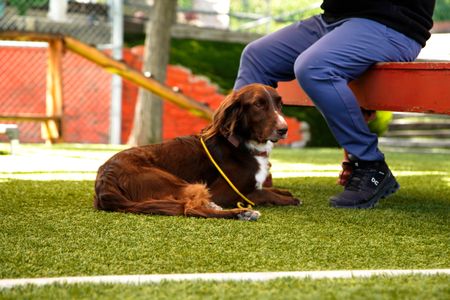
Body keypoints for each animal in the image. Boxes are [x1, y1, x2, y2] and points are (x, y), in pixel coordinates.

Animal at [93, 83, 300, 219]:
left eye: (279, 104)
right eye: (258, 104)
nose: (284, 129)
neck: (242, 144)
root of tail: (105, 180)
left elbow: (264, 187)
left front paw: (284, 192)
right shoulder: (223, 193)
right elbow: (260, 193)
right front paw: (288, 198)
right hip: (173, 181)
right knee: (190, 208)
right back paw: (243, 213)